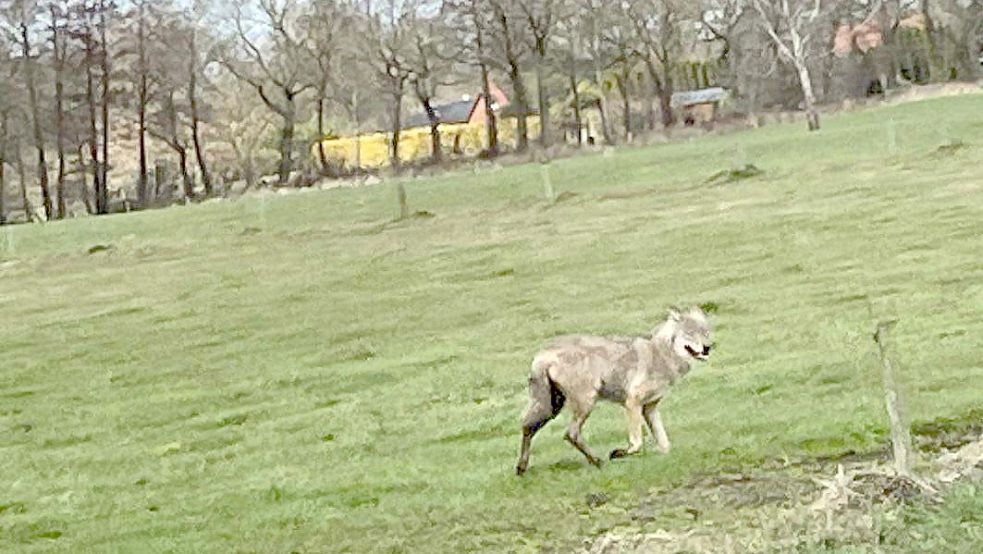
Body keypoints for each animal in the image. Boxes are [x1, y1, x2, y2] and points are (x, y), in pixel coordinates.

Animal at [516, 304, 716, 472]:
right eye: (690, 333)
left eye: (705, 332)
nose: (707, 348)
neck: (662, 354)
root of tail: (542, 355)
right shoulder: (632, 402)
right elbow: (637, 443)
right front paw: (618, 453)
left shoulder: (649, 408)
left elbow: (665, 444)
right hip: (584, 404)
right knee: (570, 433)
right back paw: (597, 461)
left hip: (551, 407)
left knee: (527, 426)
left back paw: (521, 469)